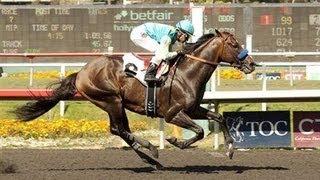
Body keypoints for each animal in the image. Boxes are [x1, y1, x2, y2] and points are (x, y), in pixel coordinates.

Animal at [14, 29, 255, 167]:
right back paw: (151, 149)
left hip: (114, 103)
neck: (187, 72)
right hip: (111, 100)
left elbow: (219, 117)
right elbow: (199, 131)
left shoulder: (193, 109)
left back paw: (151, 158)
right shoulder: (172, 114)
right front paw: (175, 141)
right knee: (119, 129)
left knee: (120, 130)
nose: (251, 64)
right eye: (234, 45)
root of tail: (81, 72)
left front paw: (231, 149)